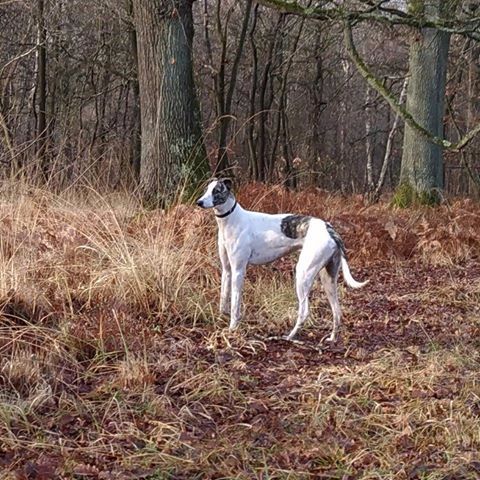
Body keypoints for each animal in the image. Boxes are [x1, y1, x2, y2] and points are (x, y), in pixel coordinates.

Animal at [195, 178, 368, 344]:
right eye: (206, 189)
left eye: (217, 190)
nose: (199, 202)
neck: (231, 220)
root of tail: (330, 229)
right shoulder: (227, 270)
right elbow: (224, 298)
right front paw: (220, 319)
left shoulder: (239, 271)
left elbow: (234, 304)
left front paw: (232, 329)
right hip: (328, 278)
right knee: (337, 311)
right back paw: (331, 338)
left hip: (303, 274)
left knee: (305, 311)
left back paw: (289, 337)